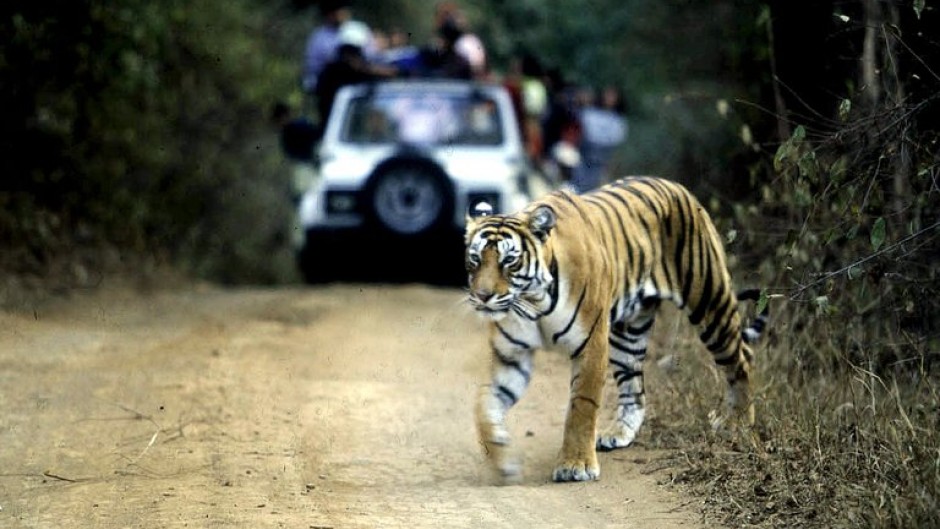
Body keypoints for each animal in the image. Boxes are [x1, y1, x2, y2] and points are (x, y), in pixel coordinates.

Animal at [464, 176, 769, 482]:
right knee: (634, 387)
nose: (482, 296)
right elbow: (484, 404)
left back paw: (738, 422)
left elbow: (582, 405)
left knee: (743, 357)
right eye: (475, 259)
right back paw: (619, 433)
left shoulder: (591, 344)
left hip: (709, 301)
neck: (533, 302)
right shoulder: (511, 358)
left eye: (509, 261)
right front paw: (504, 461)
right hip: (628, 333)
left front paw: (576, 465)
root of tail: (675, 185)